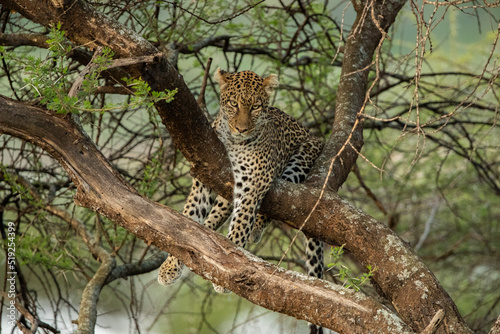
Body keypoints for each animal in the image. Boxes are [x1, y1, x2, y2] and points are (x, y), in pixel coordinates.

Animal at [158, 68, 326, 332]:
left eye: (255, 106)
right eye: (233, 104)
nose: (241, 129)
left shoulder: (253, 183)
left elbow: (240, 224)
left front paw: (228, 269)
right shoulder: (205, 174)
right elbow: (188, 218)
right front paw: (171, 265)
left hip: (303, 157)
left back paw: (251, 230)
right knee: (216, 215)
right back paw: (207, 238)